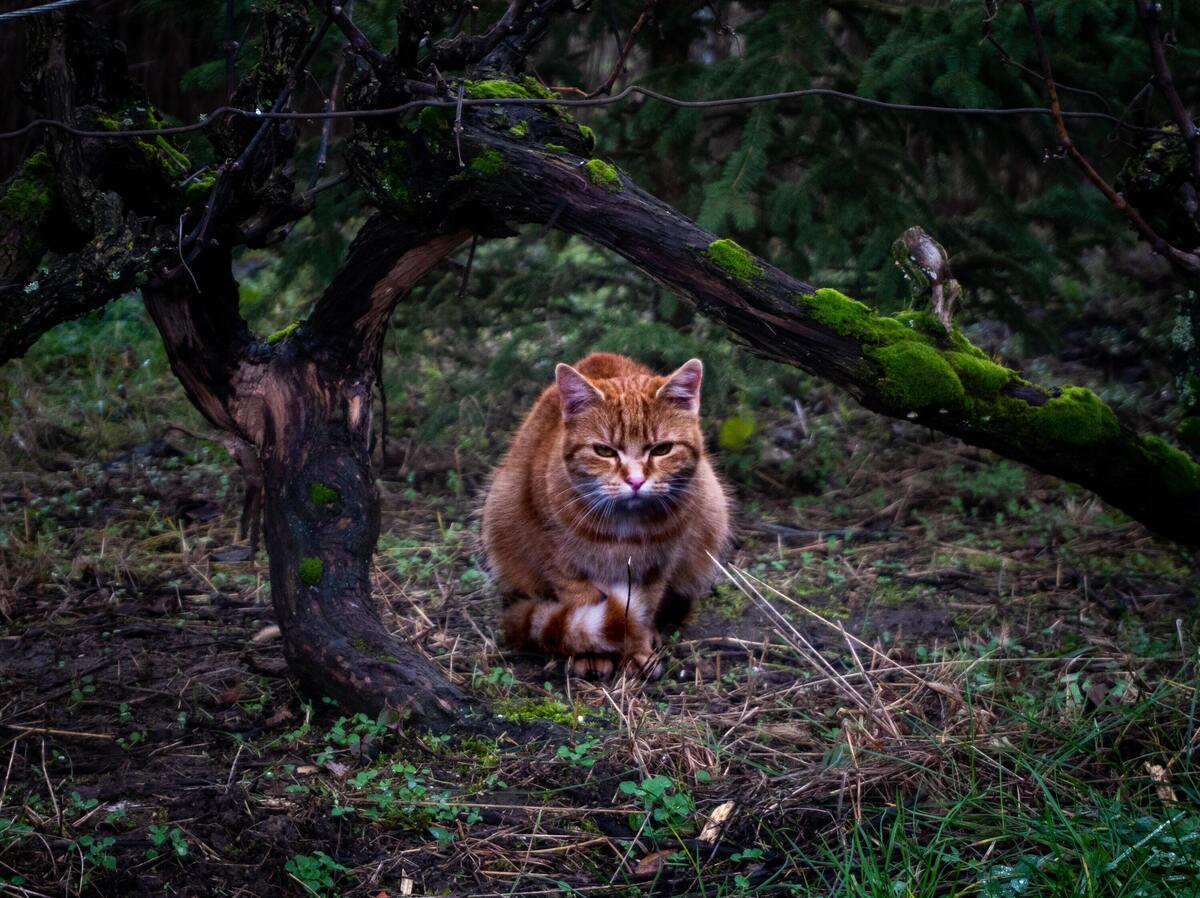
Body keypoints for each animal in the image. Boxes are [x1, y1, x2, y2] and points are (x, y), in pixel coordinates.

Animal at [480, 350, 729, 672]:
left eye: (662, 449)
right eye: (605, 451)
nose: (635, 481)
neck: (624, 526)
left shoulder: (656, 566)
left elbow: (641, 610)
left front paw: (637, 649)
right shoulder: (561, 562)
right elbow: (581, 602)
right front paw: (590, 653)